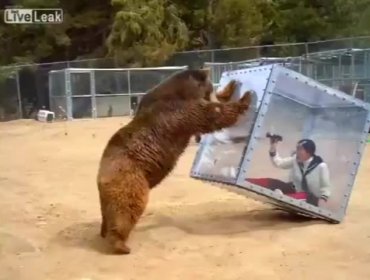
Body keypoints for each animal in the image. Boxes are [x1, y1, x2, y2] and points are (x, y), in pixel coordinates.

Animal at [97, 91, 253, 255]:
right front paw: (245, 98)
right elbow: (214, 115)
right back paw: (120, 245)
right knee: (126, 209)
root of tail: (101, 177)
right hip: (129, 179)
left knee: (109, 212)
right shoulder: (184, 115)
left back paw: (104, 232)